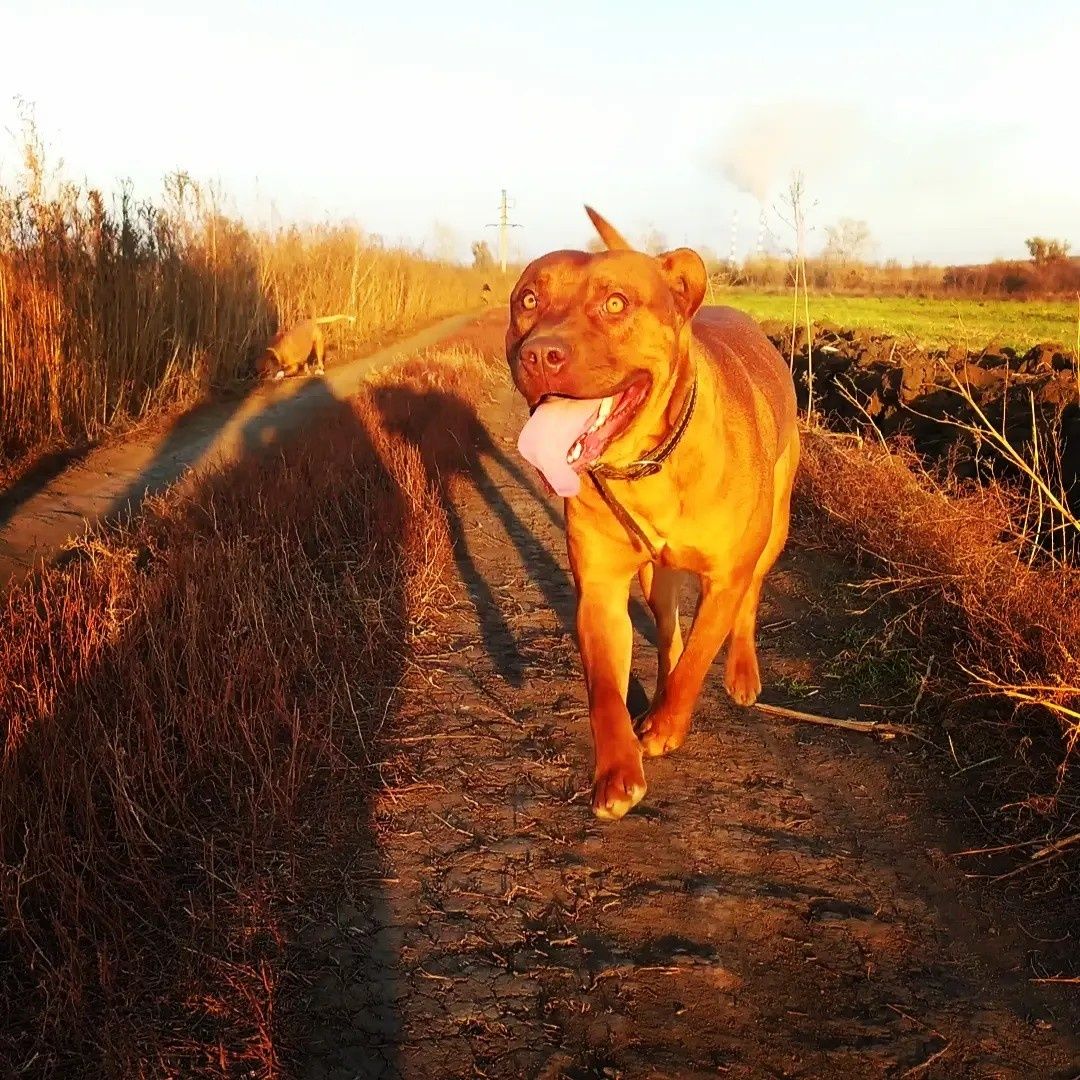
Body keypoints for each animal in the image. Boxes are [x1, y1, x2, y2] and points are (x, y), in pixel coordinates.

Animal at [501, 208, 799, 816]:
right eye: (528, 300)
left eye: (616, 303)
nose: (540, 354)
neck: (647, 465)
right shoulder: (601, 587)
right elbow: (605, 689)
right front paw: (618, 768)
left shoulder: (725, 577)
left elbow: (701, 656)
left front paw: (666, 726)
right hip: (652, 577)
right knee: (667, 633)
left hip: (774, 529)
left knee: (748, 601)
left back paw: (740, 671)